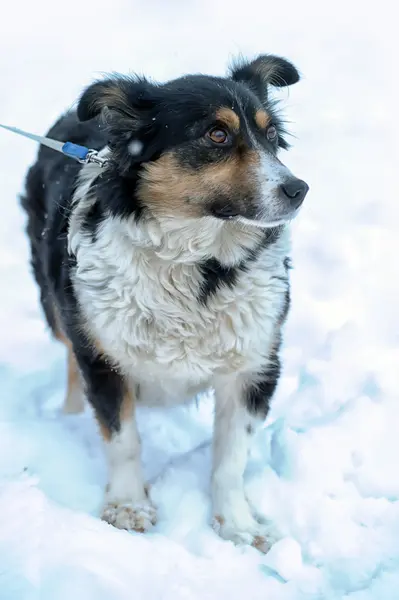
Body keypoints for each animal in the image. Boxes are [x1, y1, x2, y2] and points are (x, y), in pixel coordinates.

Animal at [21, 54, 310, 552]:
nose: (298, 189)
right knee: (70, 361)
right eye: (217, 134)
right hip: (57, 305)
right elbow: (123, 439)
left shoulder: (255, 364)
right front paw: (128, 506)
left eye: (272, 135)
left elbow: (232, 457)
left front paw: (238, 525)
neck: (197, 265)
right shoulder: (102, 354)